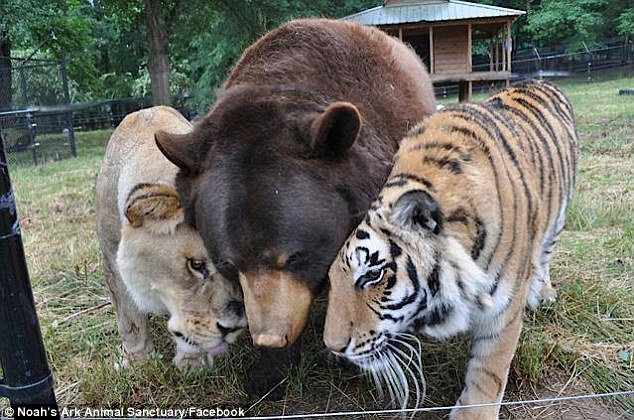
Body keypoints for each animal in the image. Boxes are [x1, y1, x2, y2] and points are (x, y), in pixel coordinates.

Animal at [95, 106, 246, 370]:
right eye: (196, 265)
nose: (233, 327)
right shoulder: (111, 256)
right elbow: (129, 317)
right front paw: (137, 361)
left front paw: (193, 362)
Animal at [324, 79, 576, 420]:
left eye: (372, 275)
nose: (333, 347)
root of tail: (540, 80)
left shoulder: (504, 309)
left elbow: (489, 370)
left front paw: (473, 414)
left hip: (558, 216)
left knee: (546, 252)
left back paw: (545, 292)